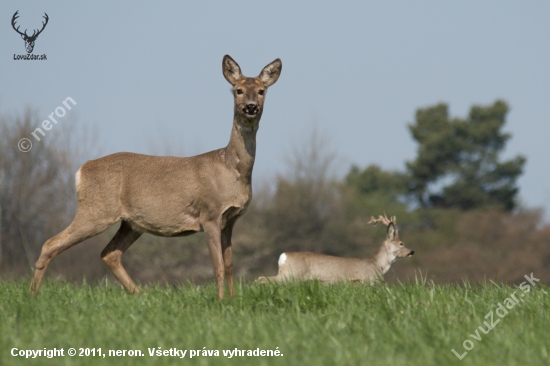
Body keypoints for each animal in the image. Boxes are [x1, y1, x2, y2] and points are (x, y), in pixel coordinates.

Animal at [29, 55, 284, 300]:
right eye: (238, 90)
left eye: (261, 91)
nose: (250, 107)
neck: (232, 168)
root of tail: (81, 171)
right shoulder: (210, 214)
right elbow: (218, 266)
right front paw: (221, 302)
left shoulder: (230, 220)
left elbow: (230, 266)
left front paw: (232, 300)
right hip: (95, 210)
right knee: (50, 243)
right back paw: (33, 295)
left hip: (130, 222)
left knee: (109, 253)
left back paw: (140, 296)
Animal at [258, 216, 414, 284]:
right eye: (401, 243)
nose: (411, 251)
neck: (378, 264)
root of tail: (283, 256)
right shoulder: (369, 279)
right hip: (291, 274)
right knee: (261, 279)